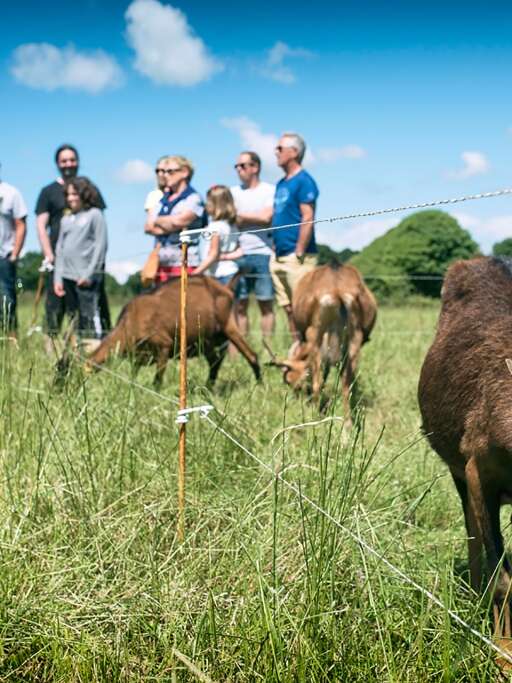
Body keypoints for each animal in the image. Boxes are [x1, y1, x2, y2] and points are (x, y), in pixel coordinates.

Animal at [87, 276, 260, 388]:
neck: (130, 321)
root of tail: (226, 288)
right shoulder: (137, 355)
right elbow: (133, 376)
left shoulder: (164, 345)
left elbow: (157, 380)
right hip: (208, 340)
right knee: (215, 361)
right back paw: (208, 387)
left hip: (228, 326)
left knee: (251, 355)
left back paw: (259, 383)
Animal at [266, 264, 378, 420]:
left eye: (288, 381)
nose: (296, 398)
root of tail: (336, 290)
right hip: (354, 339)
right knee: (347, 382)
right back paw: (348, 422)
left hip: (315, 335)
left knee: (318, 382)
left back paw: (315, 416)